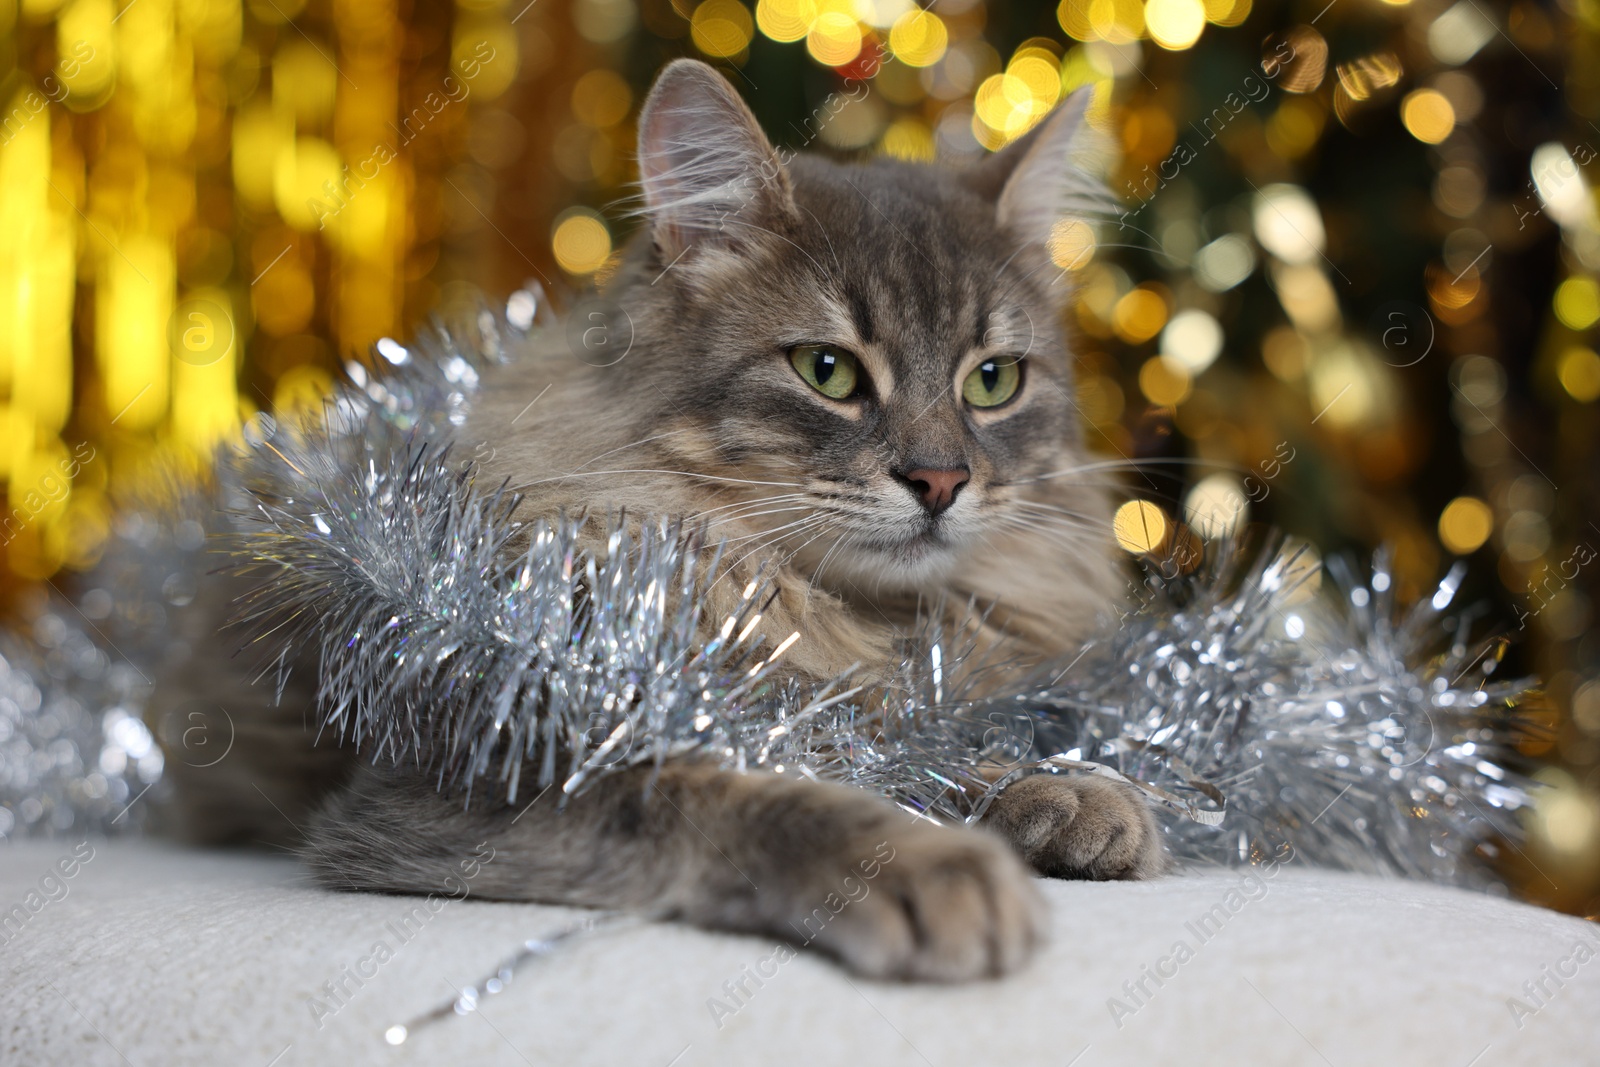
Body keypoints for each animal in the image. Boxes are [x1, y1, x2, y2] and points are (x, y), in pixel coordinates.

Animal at [156, 56, 1164, 979]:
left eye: (993, 381)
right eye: (828, 371)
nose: (942, 479)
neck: (815, 607)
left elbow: (909, 748)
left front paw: (1062, 790)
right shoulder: (473, 774)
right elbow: (745, 796)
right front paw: (927, 864)